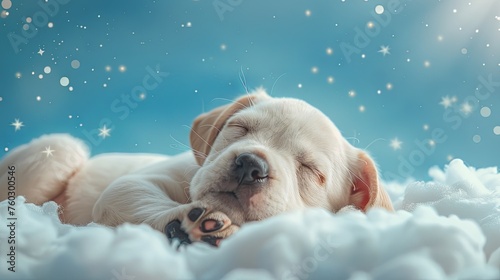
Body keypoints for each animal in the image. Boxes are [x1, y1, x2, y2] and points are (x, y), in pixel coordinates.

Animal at [0, 89, 390, 245]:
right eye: (240, 128)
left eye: (310, 169)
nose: (250, 165)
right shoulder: (133, 186)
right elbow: (143, 201)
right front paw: (194, 220)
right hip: (60, 152)